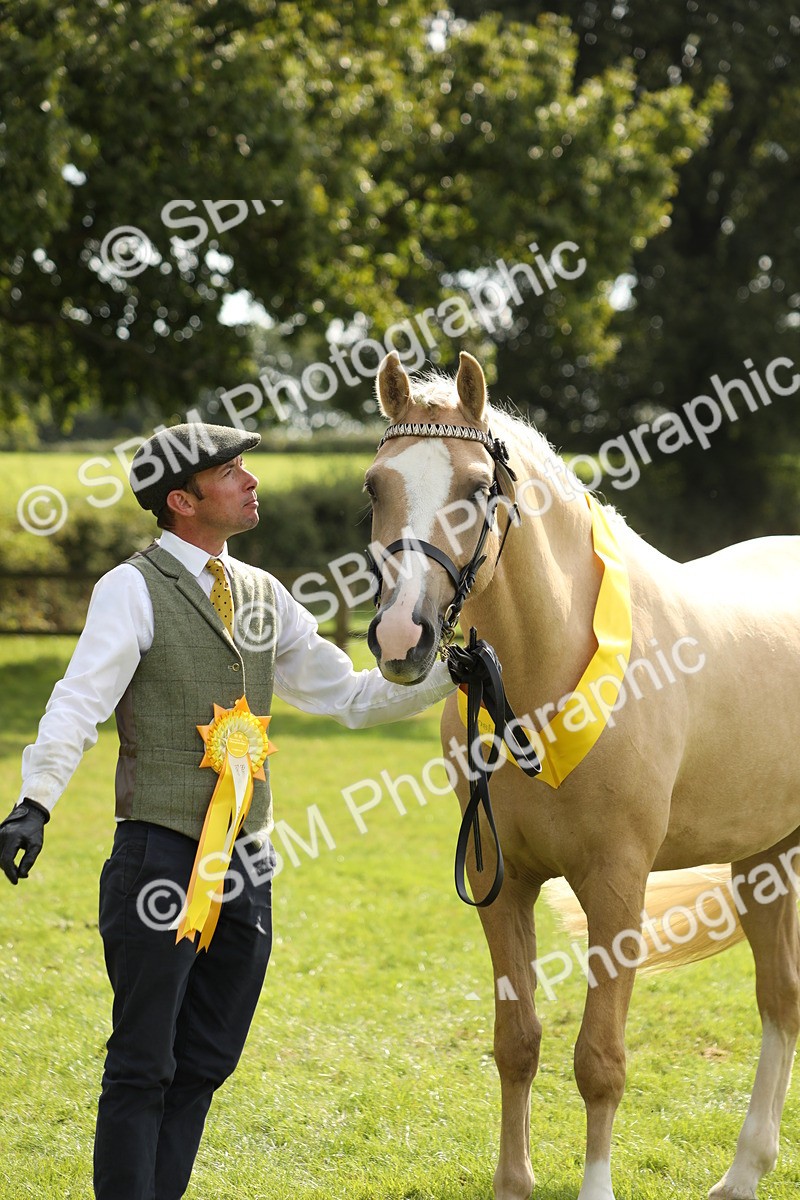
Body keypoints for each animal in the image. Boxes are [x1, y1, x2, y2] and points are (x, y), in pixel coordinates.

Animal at [363, 349, 800, 1200]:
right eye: (375, 486)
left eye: (477, 487)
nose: (402, 637)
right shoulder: (500, 881)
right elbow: (518, 1040)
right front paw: (513, 1180)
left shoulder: (617, 883)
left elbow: (600, 1060)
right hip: (763, 856)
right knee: (780, 999)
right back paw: (743, 1173)